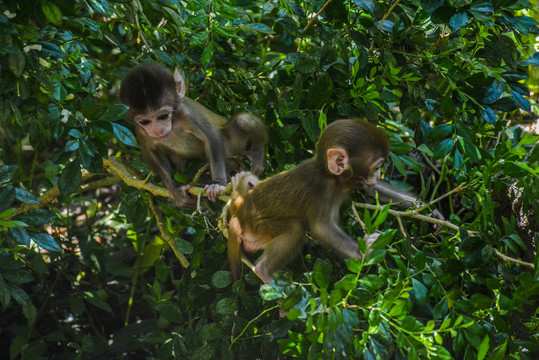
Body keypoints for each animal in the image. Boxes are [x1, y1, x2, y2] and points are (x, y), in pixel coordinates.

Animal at [119, 63, 268, 207]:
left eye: (163, 116)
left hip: (234, 149)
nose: (158, 130)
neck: (173, 121)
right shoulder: (141, 131)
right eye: (145, 121)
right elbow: (150, 152)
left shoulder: (188, 115)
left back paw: (258, 153)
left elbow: (211, 138)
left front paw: (217, 183)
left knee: (242, 120)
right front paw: (175, 189)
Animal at [226, 119, 390, 284]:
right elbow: (323, 229)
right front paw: (365, 252)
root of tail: (238, 215)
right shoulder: (322, 191)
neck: (329, 175)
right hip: (256, 226)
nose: (378, 177)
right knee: (295, 228)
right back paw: (263, 271)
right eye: (377, 167)